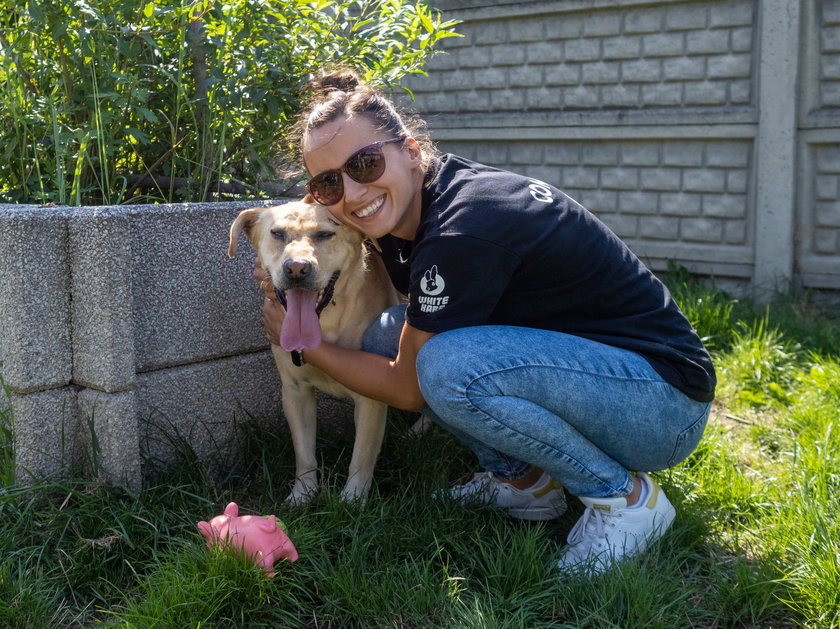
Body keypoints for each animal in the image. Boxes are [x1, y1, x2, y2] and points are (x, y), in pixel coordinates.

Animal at [228, 201, 402, 506]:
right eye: (277, 233)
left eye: (325, 234)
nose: (297, 268)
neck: (325, 319)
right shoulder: (295, 391)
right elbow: (304, 452)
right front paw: (302, 494)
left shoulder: (370, 398)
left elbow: (362, 455)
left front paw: (353, 500)